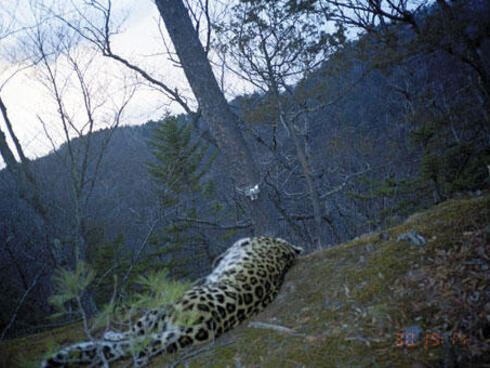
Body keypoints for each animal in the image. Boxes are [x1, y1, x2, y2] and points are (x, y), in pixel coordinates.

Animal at [41, 237, 302, 366]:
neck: (286, 250)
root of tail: (202, 324)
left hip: (162, 308)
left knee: (134, 335)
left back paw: (113, 335)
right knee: (140, 347)